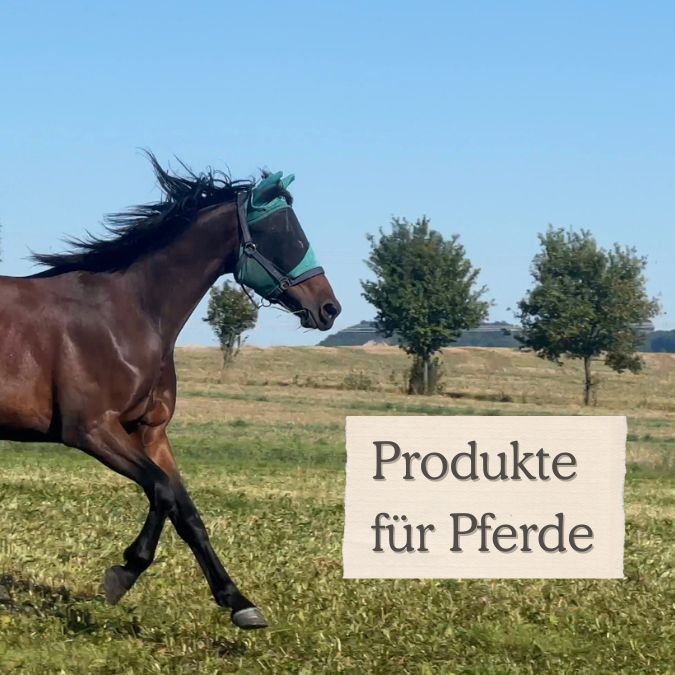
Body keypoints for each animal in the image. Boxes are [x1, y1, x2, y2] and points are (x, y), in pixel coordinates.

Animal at [0, 155, 341, 629]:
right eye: (285, 234)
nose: (329, 308)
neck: (127, 313)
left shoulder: (150, 432)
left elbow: (188, 514)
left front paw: (239, 602)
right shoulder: (91, 430)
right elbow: (162, 492)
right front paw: (123, 572)